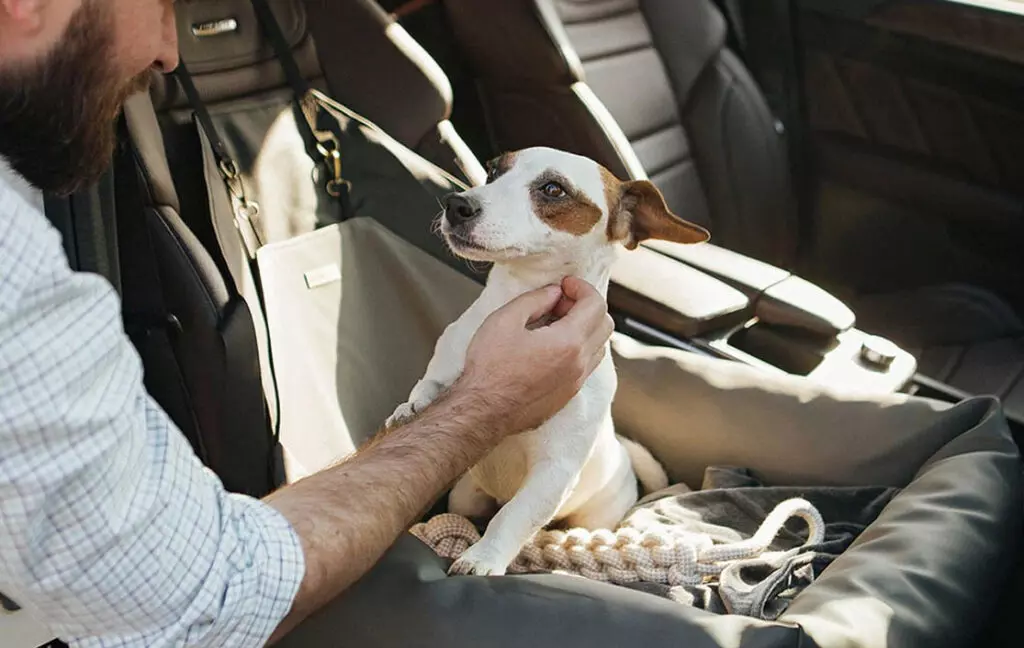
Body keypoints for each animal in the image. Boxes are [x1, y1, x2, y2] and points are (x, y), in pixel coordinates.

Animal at [385, 145, 712, 569]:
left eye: (553, 189)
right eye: (493, 171)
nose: (457, 204)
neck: (514, 301)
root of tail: (625, 460)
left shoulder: (553, 473)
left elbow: (513, 516)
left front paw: (485, 557)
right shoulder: (447, 362)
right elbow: (429, 384)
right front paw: (411, 408)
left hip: (592, 516)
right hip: (465, 496)